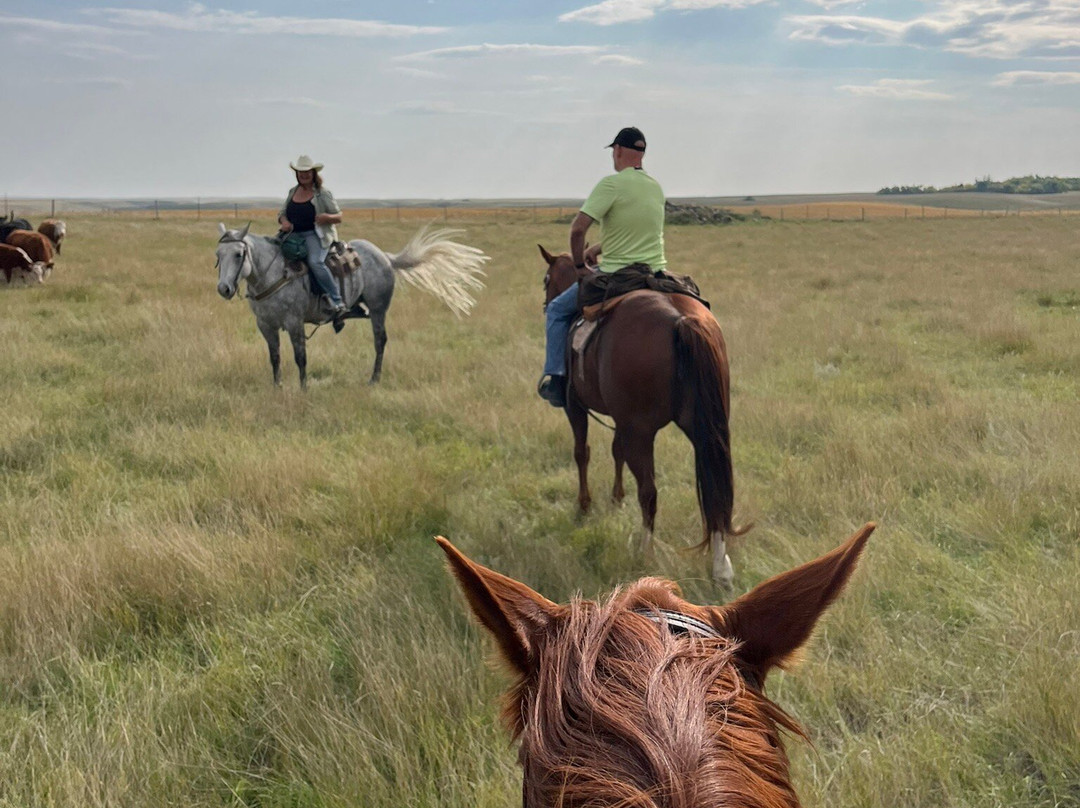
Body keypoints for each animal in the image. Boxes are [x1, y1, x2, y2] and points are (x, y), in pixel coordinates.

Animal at [216, 224, 487, 387]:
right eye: (218, 255)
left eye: (238, 254)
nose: (224, 289)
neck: (273, 274)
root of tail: (384, 256)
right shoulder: (265, 325)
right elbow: (275, 358)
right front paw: (277, 387)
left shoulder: (294, 323)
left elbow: (300, 358)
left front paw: (303, 389)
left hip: (378, 310)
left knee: (380, 341)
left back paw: (374, 379)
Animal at [539, 245, 744, 585]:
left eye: (546, 280)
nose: (546, 305)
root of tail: (681, 319)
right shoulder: (620, 419)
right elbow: (615, 451)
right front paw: (616, 498)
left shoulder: (576, 407)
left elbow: (582, 452)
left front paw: (584, 506)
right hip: (706, 428)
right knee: (716, 487)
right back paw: (721, 567)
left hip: (642, 431)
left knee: (649, 492)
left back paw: (644, 555)